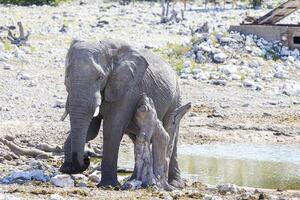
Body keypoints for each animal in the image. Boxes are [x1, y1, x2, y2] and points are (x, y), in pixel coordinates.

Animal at [59, 39, 183, 188]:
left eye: (99, 77)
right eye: (66, 75)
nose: (86, 159)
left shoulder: (128, 89)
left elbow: (112, 128)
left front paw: (108, 186)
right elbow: (91, 129)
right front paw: (68, 168)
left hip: (176, 98)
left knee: (171, 134)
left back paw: (175, 184)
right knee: (139, 139)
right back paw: (134, 180)